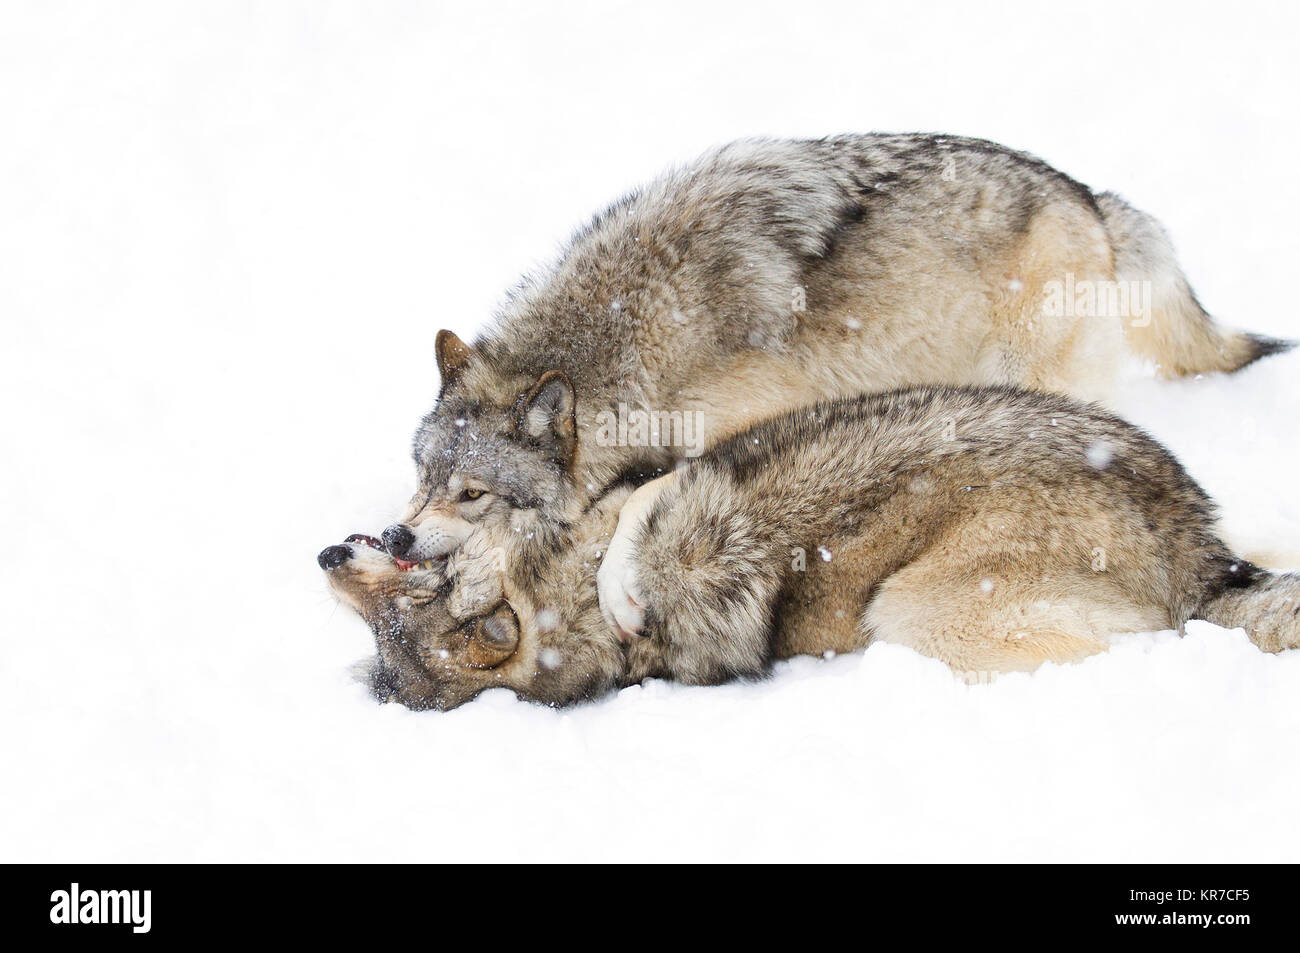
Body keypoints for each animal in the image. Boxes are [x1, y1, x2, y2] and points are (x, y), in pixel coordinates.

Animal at [379, 131, 1284, 608]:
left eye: (473, 493)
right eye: (422, 478)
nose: (394, 536)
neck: (639, 337)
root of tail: (1091, 198)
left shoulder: (738, 433)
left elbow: (637, 504)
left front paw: (616, 591)